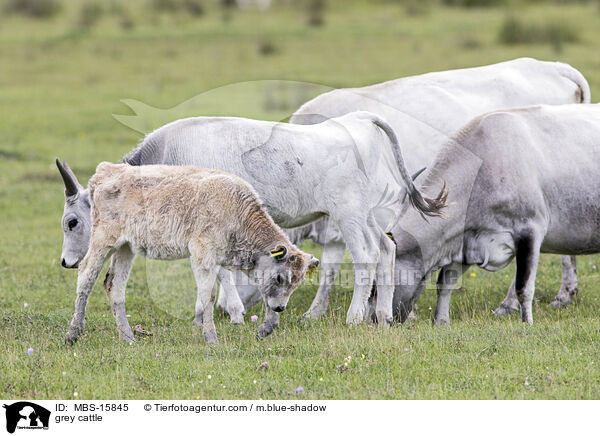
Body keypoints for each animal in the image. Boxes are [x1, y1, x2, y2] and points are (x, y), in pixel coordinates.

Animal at [62, 162, 318, 342]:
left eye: (296, 283)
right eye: (280, 277)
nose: (281, 308)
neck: (236, 211)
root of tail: (106, 171)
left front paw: (267, 327)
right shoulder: (203, 255)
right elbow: (209, 294)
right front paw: (211, 337)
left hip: (126, 248)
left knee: (113, 285)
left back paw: (128, 338)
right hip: (103, 240)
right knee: (86, 275)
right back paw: (74, 333)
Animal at [392, 104, 600, 324]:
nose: (380, 319)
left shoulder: (530, 230)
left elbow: (524, 287)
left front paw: (527, 324)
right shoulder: (468, 241)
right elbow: (445, 281)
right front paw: (441, 322)